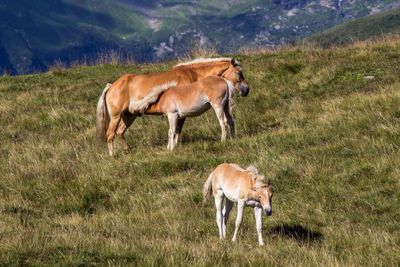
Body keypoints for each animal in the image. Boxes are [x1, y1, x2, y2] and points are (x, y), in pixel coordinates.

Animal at [97, 57, 245, 156]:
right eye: (239, 72)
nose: (246, 90)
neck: (191, 74)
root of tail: (111, 86)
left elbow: (176, 130)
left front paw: (174, 146)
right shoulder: (178, 114)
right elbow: (177, 130)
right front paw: (174, 146)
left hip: (129, 116)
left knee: (120, 132)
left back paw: (127, 151)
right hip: (116, 117)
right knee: (110, 134)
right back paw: (112, 155)